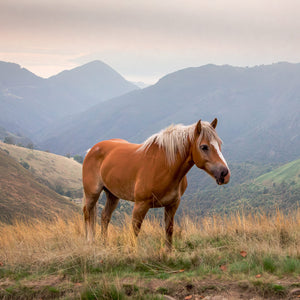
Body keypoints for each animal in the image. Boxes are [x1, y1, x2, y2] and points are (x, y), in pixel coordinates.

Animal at [81, 118, 230, 250]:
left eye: (219, 144)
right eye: (204, 147)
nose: (225, 174)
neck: (163, 165)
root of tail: (92, 149)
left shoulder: (172, 205)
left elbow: (169, 230)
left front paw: (168, 253)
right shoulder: (140, 205)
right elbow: (135, 230)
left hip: (112, 195)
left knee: (104, 217)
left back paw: (104, 244)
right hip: (92, 194)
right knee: (87, 214)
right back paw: (89, 242)